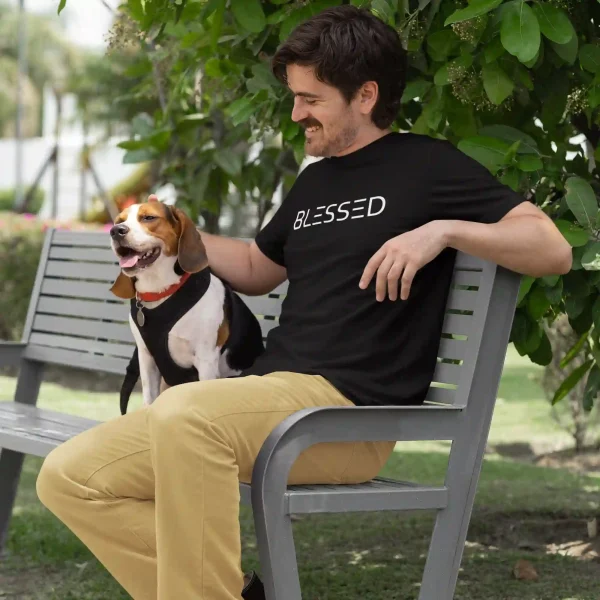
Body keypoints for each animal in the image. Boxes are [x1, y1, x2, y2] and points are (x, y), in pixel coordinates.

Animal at [110, 199, 264, 414]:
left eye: (149, 217)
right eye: (119, 221)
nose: (116, 231)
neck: (160, 292)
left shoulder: (206, 360)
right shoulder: (146, 357)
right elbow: (149, 400)